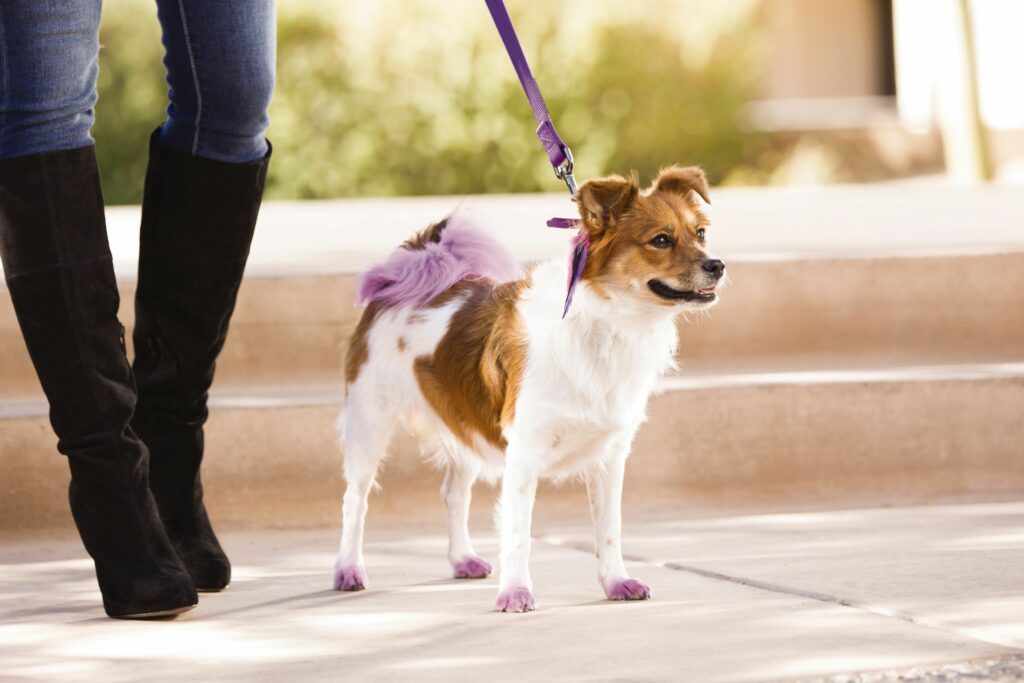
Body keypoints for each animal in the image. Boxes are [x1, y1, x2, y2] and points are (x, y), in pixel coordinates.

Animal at [333, 166, 720, 614]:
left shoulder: (609, 458)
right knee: (355, 501)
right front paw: (515, 592)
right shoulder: (523, 455)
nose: (718, 265)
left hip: (463, 424)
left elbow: (609, 529)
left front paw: (615, 582)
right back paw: (348, 569)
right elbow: (518, 532)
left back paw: (461, 559)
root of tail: (402, 277)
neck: (610, 324)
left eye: (701, 233)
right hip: (369, 424)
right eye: (660, 240)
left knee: (453, 494)